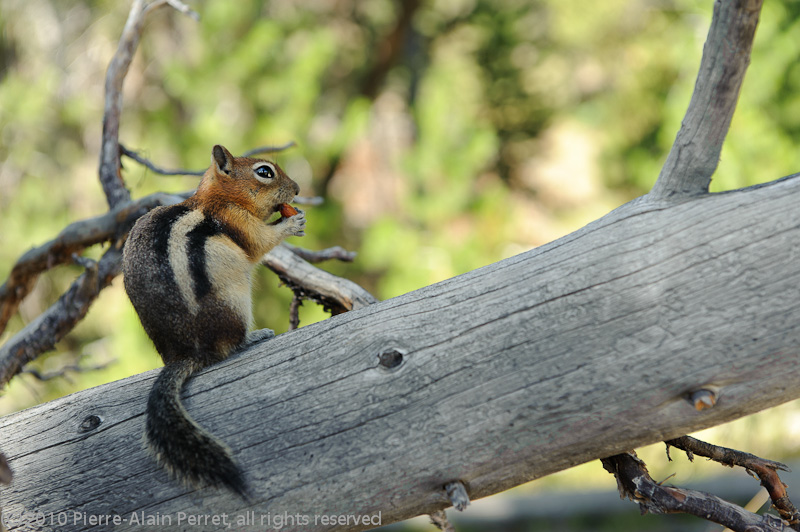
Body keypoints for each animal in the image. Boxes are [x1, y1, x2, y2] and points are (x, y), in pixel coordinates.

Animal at [122, 143, 306, 496]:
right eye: (265, 172)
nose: (298, 189)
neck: (218, 198)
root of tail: (190, 354)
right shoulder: (237, 221)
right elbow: (259, 242)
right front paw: (291, 225)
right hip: (234, 299)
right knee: (230, 347)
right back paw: (256, 336)